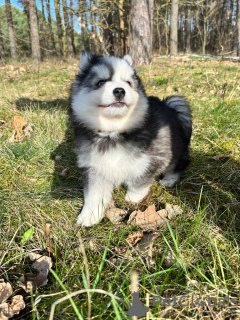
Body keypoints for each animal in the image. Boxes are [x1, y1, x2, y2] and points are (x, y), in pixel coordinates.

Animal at [69, 51, 191, 226]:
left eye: (128, 83)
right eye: (100, 83)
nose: (120, 90)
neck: (113, 133)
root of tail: (168, 106)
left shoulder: (150, 161)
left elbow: (139, 181)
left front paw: (132, 198)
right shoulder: (94, 167)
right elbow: (94, 194)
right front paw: (90, 214)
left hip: (176, 150)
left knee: (177, 165)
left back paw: (169, 179)